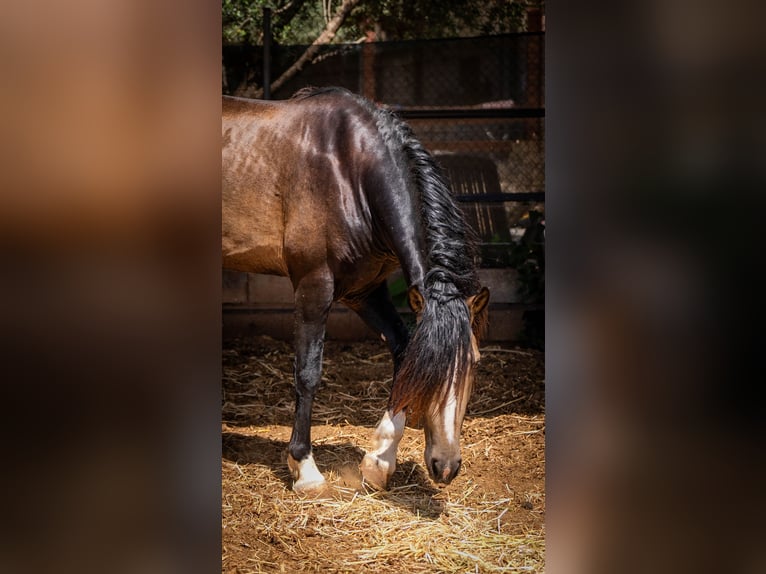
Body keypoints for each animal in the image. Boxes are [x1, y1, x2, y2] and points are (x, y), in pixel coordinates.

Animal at [222, 88, 488, 492]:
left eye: (473, 361)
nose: (445, 466)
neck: (350, 172)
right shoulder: (314, 285)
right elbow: (308, 372)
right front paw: (305, 468)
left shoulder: (366, 291)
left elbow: (402, 352)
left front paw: (379, 461)